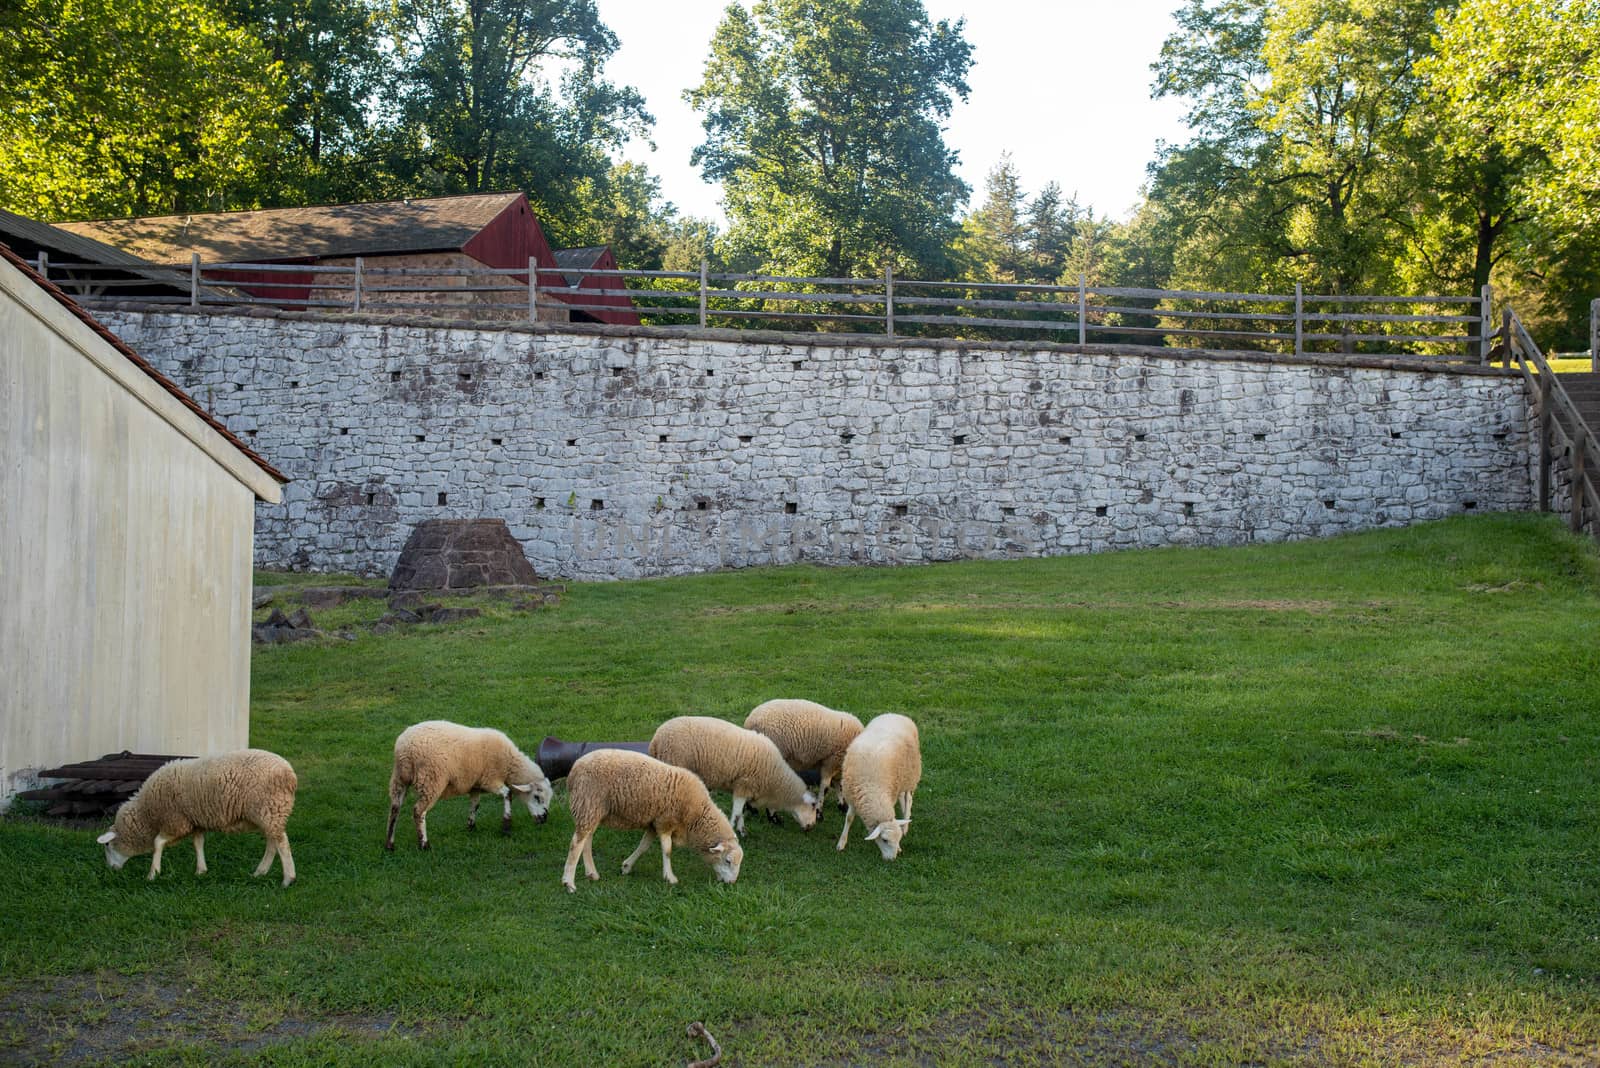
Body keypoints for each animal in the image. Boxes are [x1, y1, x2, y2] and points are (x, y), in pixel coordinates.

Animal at [94, 748, 302, 888]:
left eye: (107, 845)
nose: (111, 870)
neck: (148, 814)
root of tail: (290, 774)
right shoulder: (195, 820)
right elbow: (198, 843)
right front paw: (201, 870)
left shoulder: (176, 821)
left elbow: (157, 842)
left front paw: (153, 873)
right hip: (269, 814)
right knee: (272, 842)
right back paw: (260, 872)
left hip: (269, 809)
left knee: (281, 843)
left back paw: (288, 879)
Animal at [382, 716, 553, 850]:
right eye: (537, 797)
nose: (544, 819)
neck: (509, 764)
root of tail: (405, 748)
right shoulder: (490, 780)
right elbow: (507, 793)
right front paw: (506, 825)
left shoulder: (475, 785)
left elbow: (475, 805)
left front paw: (471, 826)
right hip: (431, 780)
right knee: (419, 811)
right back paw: (424, 844)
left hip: (399, 778)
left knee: (395, 808)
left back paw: (390, 844)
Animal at [563, 751, 742, 895]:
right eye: (727, 861)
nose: (732, 883)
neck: (697, 815)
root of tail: (574, 770)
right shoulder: (665, 821)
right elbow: (667, 850)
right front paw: (670, 877)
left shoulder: (653, 823)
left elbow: (644, 846)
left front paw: (627, 866)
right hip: (588, 803)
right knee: (576, 844)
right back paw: (569, 883)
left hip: (592, 811)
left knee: (586, 840)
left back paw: (591, 873)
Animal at [646, 716, 819, 831]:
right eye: (814, 807)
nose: (811, 826)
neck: (775, 778)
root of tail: (655, 739)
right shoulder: (744, 785)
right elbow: (736, 813)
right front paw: (733, 830)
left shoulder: (743, 788)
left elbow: (740, 811)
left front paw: (741, 830)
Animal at [832, 713, 921, 863]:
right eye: (884, 840)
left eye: (898, 839)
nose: (892, 859)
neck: (872, 788)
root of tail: (896, 714)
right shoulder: (853, 796)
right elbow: (849, 818)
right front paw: (841, 843)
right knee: (903, 798)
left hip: (910, 775)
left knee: (908, 799)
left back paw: (905, 824)